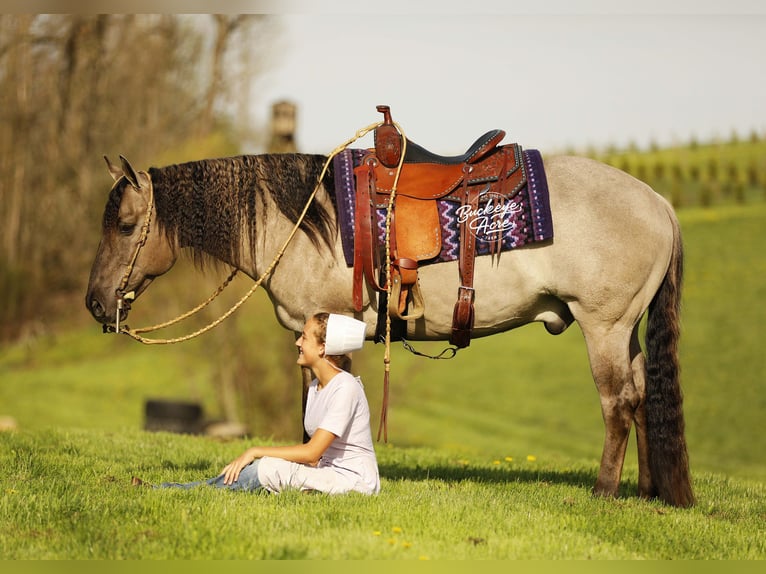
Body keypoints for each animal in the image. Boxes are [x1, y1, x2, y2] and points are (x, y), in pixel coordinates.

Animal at [85, 148, 694, 507]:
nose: (94, 303)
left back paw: (604, 492)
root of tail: (659, 202)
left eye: (126, 226)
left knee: (618, 402)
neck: (304, 224)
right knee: (642, 396)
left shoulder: (334, 328)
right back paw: (647, 492)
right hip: (626, 330)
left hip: (604, 326)